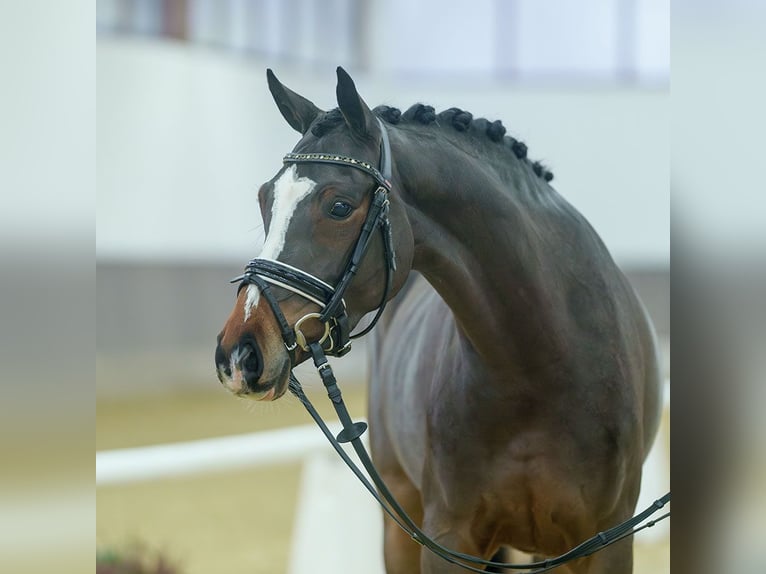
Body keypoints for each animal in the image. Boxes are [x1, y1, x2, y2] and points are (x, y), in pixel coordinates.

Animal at [216, 68, 664, 574]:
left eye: (339, 206)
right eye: (264, 198)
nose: (239, 354)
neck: (539, 366)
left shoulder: (604, 543)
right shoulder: (448, 537)